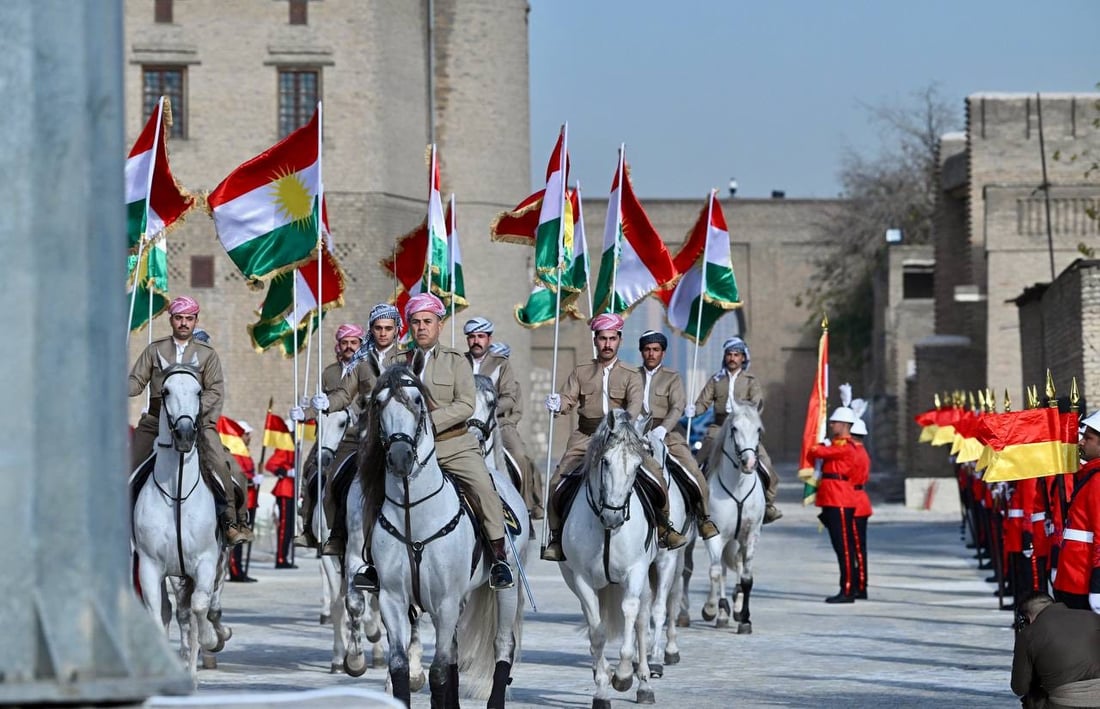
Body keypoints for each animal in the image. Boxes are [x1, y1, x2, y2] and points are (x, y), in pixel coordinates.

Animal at [132, 356, 224, 677]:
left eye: (198, 392)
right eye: (166, 390)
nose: (184, 435)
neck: (177, 494)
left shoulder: (206, 561)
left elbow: (199, 607)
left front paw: (209, 641)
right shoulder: (149, 566)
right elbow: (158, 614)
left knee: (192, 612)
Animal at [367, 362, 525, 703]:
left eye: (416, 400)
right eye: (378, 402)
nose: (400, 457)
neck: (413, 512)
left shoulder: (446, 601)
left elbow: (438, 672)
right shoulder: (392, 598)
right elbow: (400, 666)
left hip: (507, 591)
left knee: (503, 644)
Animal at [563, 406, 655, 703]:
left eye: (638, 466)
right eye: (605, 461)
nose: (613, 517)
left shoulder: (636, 571)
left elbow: (630, 612)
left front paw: (624, 676)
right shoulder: (581, 579)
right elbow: (597, 631)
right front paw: (603, 686)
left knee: (641, 621)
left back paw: (644, 684)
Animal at [704, 395, 765, 633]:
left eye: (759, 429)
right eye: (734, 428)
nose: (749, 463)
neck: (737, 484)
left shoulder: (751, 534)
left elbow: (747, 578)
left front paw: (745, 618)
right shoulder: (715, 534)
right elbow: (715, 573)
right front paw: (713, 609)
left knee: (735, 564)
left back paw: (736, 608)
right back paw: (717, 611)